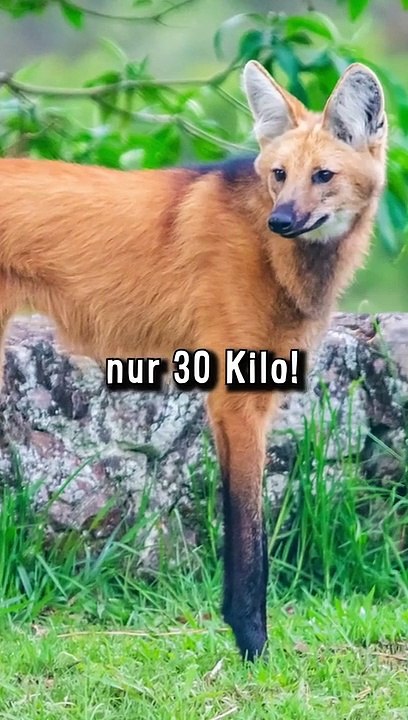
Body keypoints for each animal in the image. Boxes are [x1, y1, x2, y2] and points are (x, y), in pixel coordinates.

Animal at [0, 60, 387, 660]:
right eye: (279, 175)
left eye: (323, 176)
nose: (280, 221)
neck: (274, 257)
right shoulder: (236, 402)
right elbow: (250, 542)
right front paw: (254, 648)